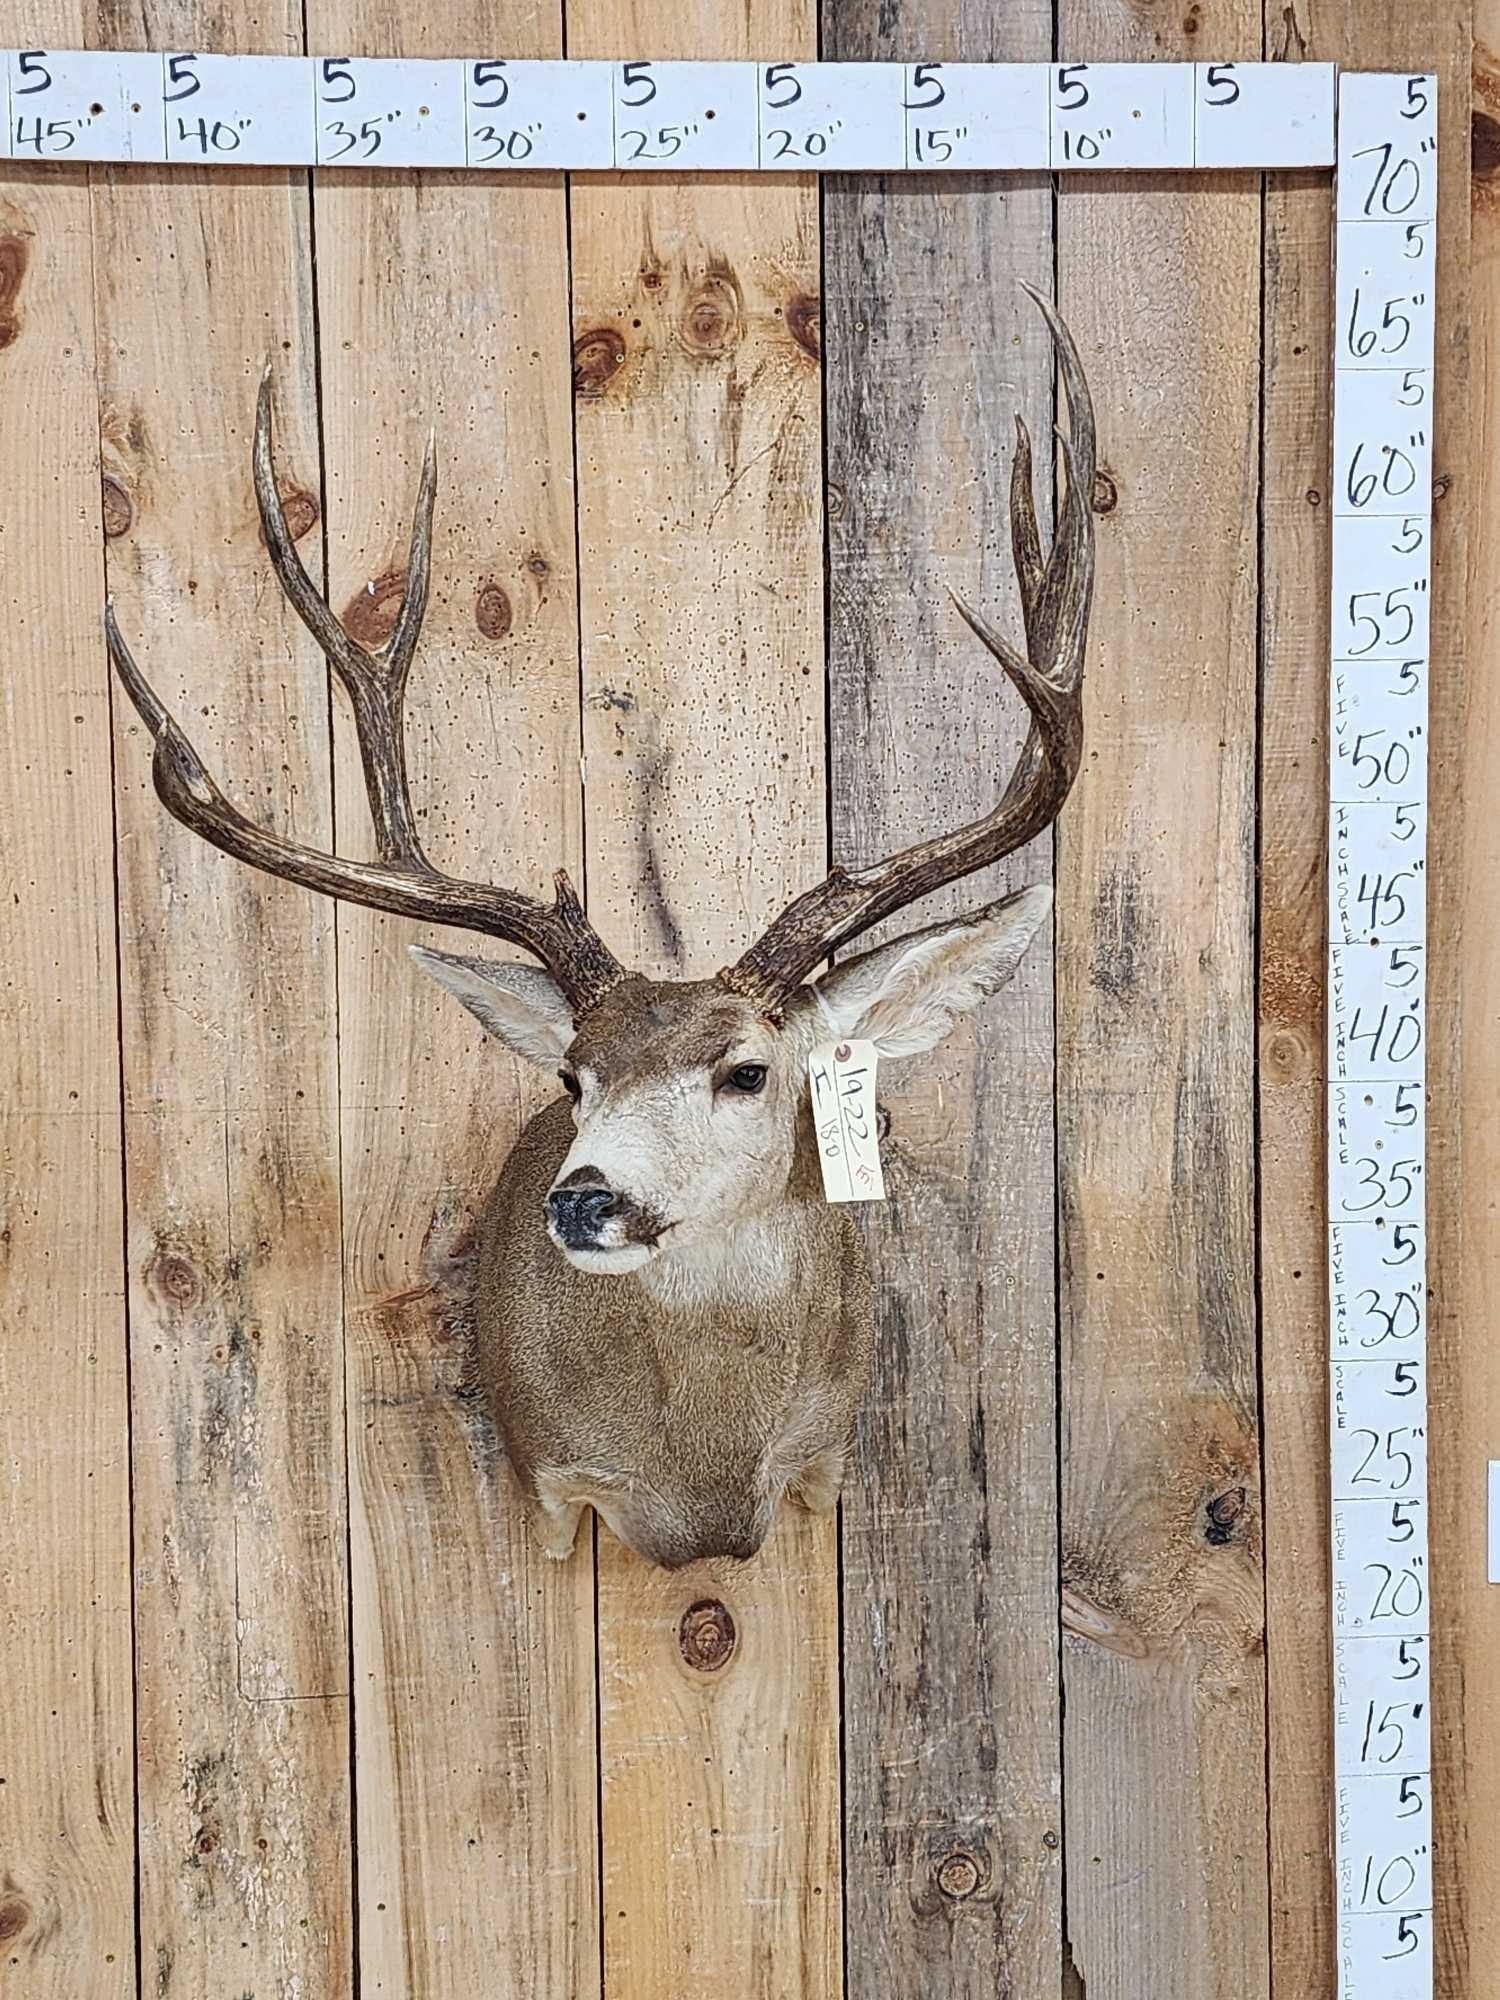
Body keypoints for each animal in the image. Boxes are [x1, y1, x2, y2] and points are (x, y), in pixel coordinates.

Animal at [106, 283, 1095, 1571]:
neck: (706, 1489)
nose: (582, 1197)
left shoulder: (826, 1458)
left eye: (746, 1069)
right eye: (572, 1076)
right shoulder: (558, 1482)